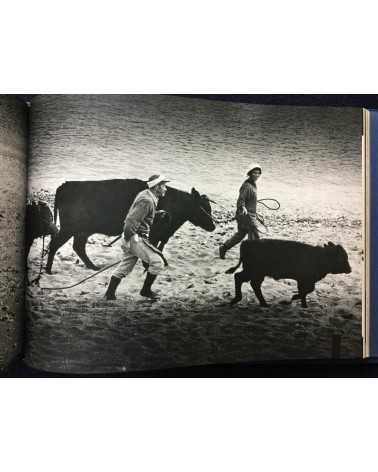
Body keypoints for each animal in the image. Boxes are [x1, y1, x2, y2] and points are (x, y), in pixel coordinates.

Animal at [45, 179, 214, 274]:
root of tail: (65, 186)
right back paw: (48, 270)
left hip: (82, 231)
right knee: (54, 245)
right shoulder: (154, 233)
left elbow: (159, 248)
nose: (213, 226)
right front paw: (148, 265)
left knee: (78, 247)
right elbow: (154, 248)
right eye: (204, 207)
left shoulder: (162, 235)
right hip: (69, 229)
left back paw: (93, 266)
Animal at [224, 240, 352, 310]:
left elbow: (307, 291)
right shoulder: (303, 280)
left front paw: (301, 303)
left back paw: (263, 303)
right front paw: (296, 299)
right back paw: (238, 299)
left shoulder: (306, 281)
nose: (350, 269)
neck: (320, 257)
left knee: (251, 283)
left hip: (257, 274)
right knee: (239, 278)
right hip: (253, 272)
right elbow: (305, 291)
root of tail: (246, 243)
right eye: (342, 258)